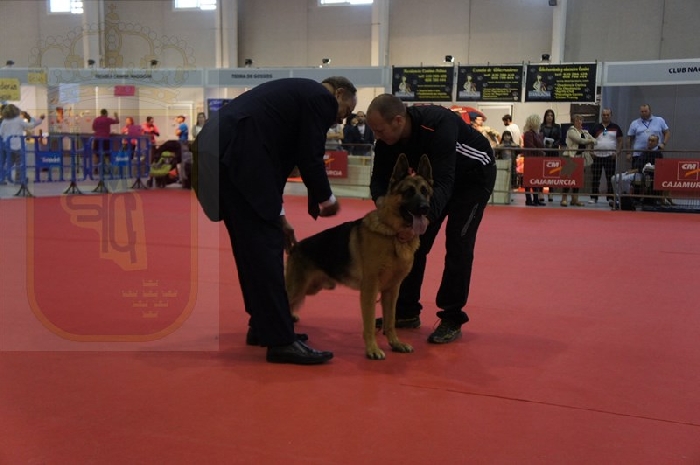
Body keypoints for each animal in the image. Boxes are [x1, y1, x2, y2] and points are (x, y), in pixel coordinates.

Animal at [285, 153, 433, 360]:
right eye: (409, 192)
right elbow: (369, 323)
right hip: (297, 289)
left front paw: (395, 343)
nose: (425, 208)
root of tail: (296, 246)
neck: (393, 234)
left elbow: (390, 321)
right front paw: (372, 349)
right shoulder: (370, 289)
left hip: (309, 289)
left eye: (424, 191)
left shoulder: (392, 291)